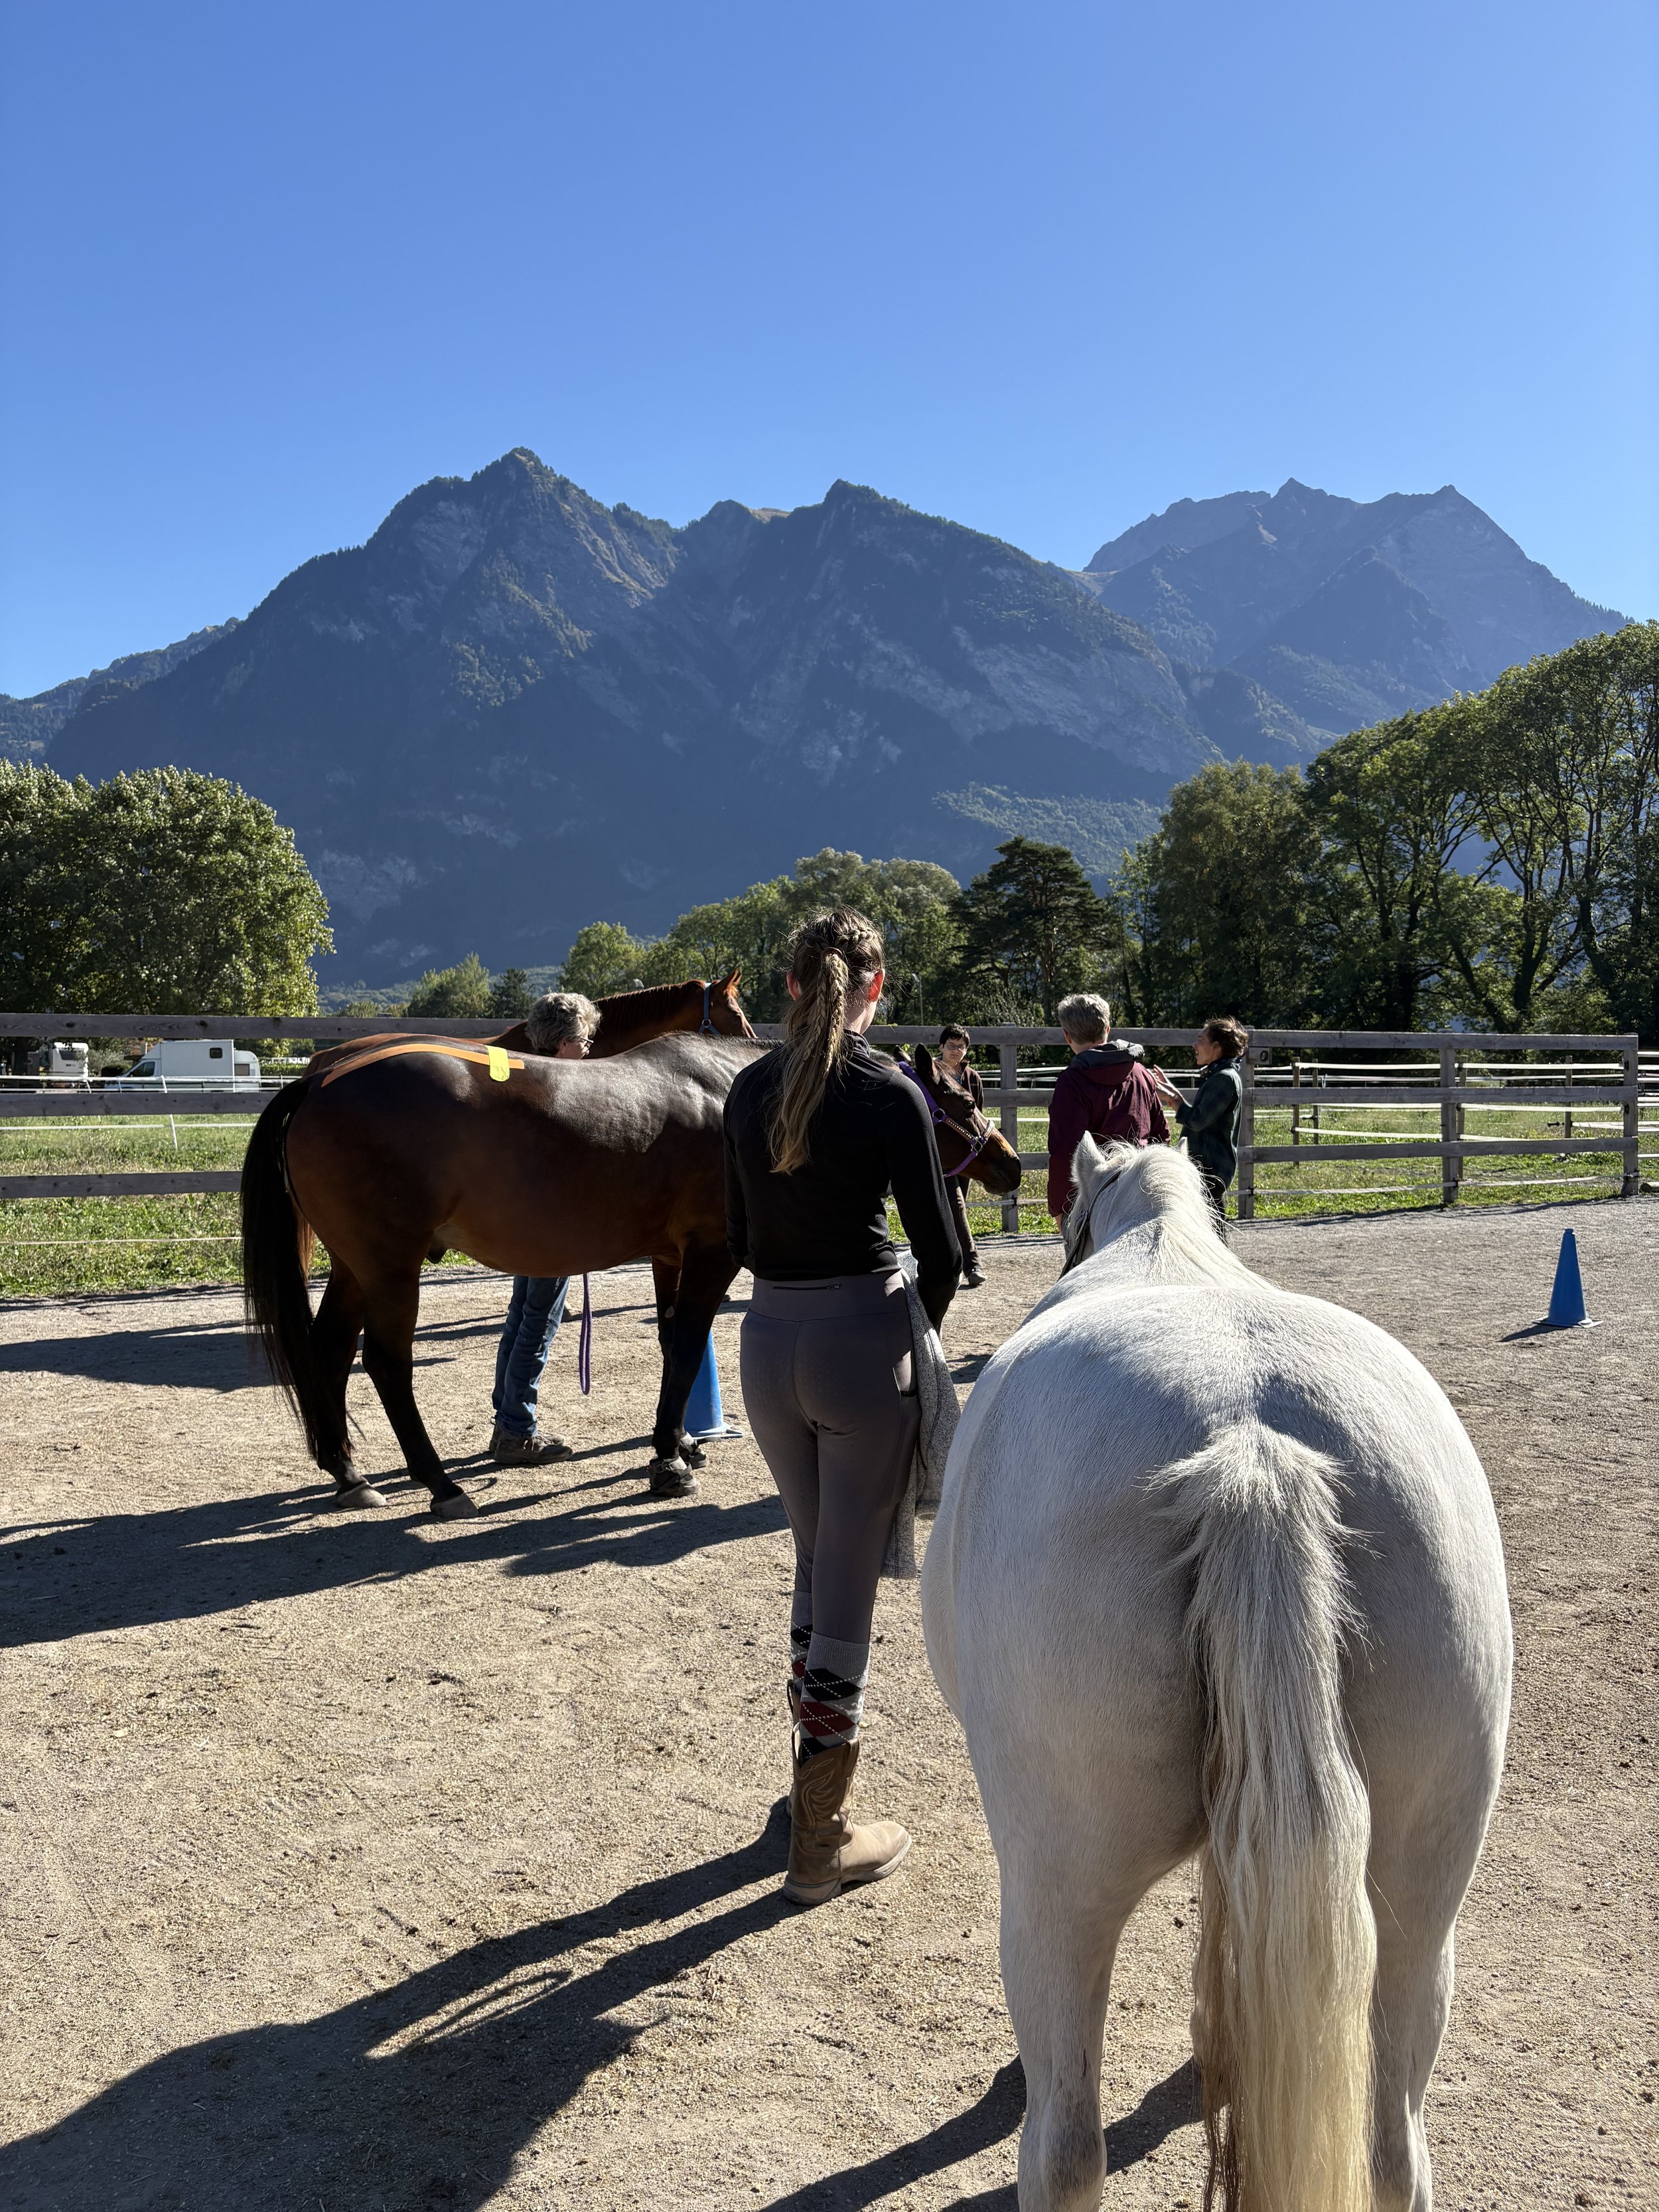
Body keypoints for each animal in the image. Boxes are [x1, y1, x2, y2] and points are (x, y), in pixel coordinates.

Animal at [243, 1029, 1025, 1520]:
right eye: (957, 1101)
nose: (1011, 1163)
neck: (736, 1093)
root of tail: (319, 1079)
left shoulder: (669, 1255)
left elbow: (672, 1344)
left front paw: (679, 1441)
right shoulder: (711, 1252)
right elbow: (686, 1346)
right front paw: (667, 1461)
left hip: (355, 1266)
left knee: (328, 1351)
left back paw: (347, 1472)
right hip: (389, 1266)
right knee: (385, 1363)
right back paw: (438, 1484)